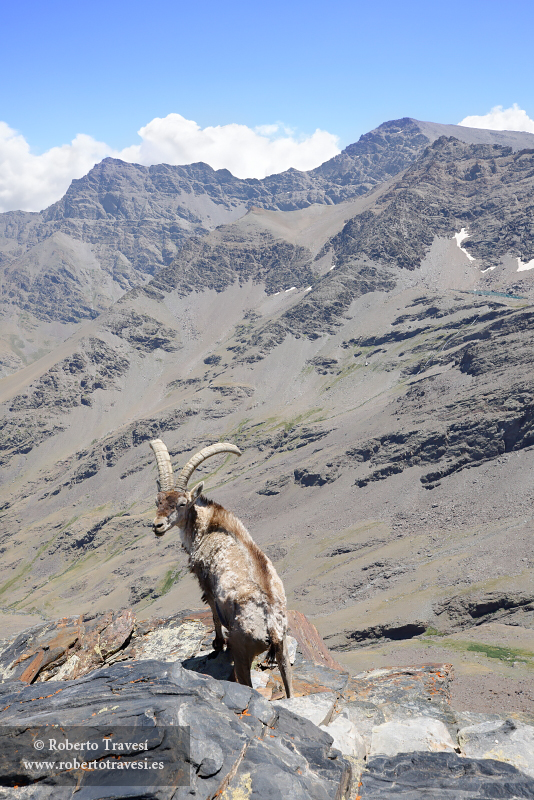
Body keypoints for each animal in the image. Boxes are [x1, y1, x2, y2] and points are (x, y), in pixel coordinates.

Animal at [150, 440, 294, 696]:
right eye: (158, 500)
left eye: (182, 503)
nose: (157, 526)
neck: (208, 526)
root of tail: (272, 629)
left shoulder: (205, 581)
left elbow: (214, 614)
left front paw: (217, 643)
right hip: (284, 650)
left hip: (242, 650)